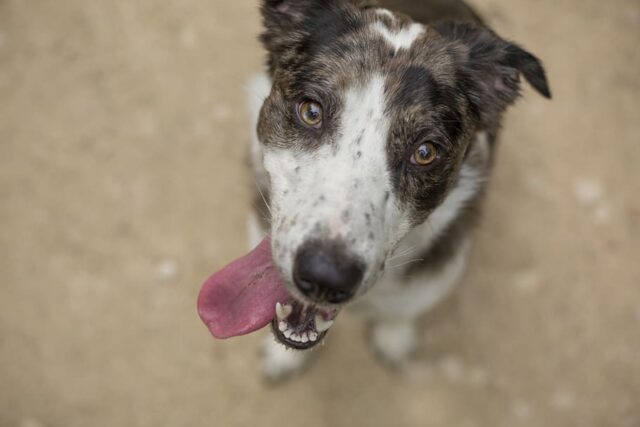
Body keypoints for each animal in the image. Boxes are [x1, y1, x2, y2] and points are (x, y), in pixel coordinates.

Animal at [199, 0, 552, 382]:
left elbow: (403, 310)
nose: (325, 278)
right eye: (311, 111)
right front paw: (284, 358)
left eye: (425, 152)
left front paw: (394, 335)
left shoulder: (436, 274)